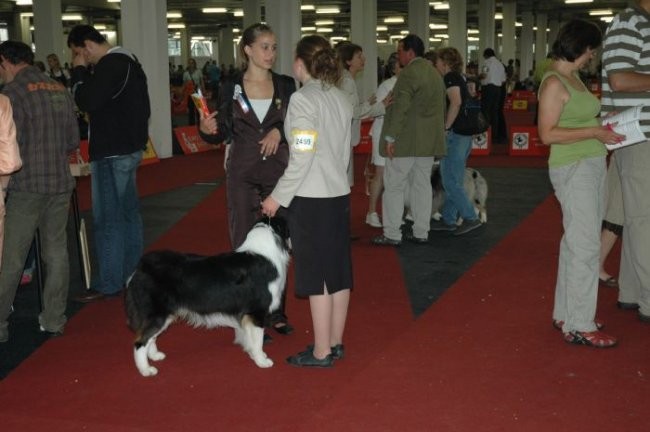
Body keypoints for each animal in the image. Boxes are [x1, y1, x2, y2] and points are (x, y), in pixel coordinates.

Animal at [123, 218, 288, 376]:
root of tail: (139, 269)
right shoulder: (256, 312)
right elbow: (258, 340)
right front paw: (262, 361)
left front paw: (254, 354)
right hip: (157, 314)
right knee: (140, 342)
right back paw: (146, 370)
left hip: (163, 314)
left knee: (150, 337)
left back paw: (155, 356)